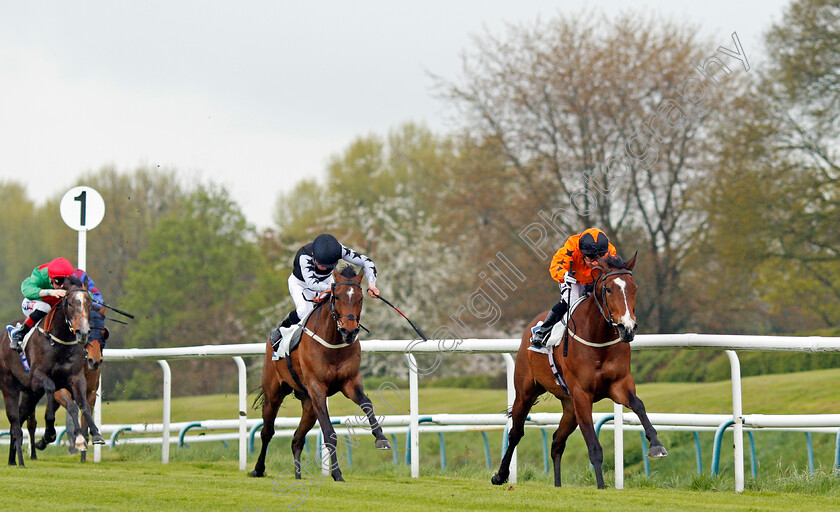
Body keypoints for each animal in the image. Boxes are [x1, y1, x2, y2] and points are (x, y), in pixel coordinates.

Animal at [0, 278, 104, 466]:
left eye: (89, 303)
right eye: (69, 303)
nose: (83, 332)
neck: (60, 341)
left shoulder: (76, 378)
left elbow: (83, 404)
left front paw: (95, 434)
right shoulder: (38, 377)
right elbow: (54, 391)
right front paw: (52, 433)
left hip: (30, 394)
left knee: (20, 420)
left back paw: (13, 460)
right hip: (9, 387)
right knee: (15, 422)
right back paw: (19, 461)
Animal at [251, 266, 392, 482]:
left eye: (360, 298)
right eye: (337, 297)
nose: (349, 331)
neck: (334, 342)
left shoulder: (349, 382)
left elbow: (367, 404)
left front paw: (381, 438)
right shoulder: (317, 388)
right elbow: (329, 432)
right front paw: (337, 473)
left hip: (308, 405)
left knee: (296, 439)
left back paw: (298, 475)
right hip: (274, 393)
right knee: (267, 432)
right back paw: (258, 469)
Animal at [488, 255, 668, 488]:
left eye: (634, 288)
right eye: (608, 289)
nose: (627, 328)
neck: (598, 338)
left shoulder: (619, 384)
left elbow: (639, 405)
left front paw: (656, 445)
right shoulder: (582, 394)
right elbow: (594, 446)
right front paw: (601, 486)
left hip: (569, 406)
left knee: (557, 441)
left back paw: (557, 485)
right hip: (526, 391)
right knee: (516, 432)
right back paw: (500, 475)